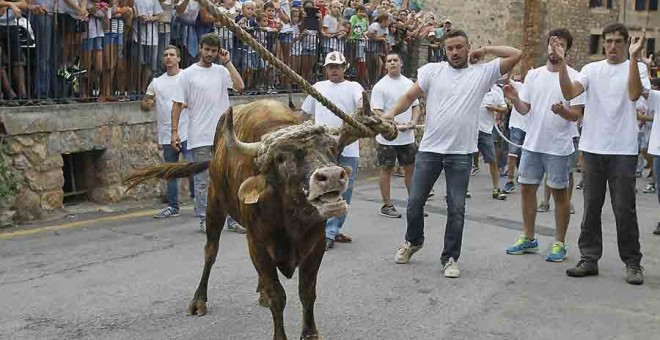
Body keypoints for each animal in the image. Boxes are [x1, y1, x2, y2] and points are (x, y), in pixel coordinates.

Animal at [122, 99, 360, 340]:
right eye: (282, 158)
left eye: (331, 149)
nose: (331, 176)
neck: (291, 219)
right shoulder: (258, 243)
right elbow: (277, 296)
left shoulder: (316, 244)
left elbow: (307, 292)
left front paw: (310, 333)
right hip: (214, 204)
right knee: (210, 251)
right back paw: (199, 300)